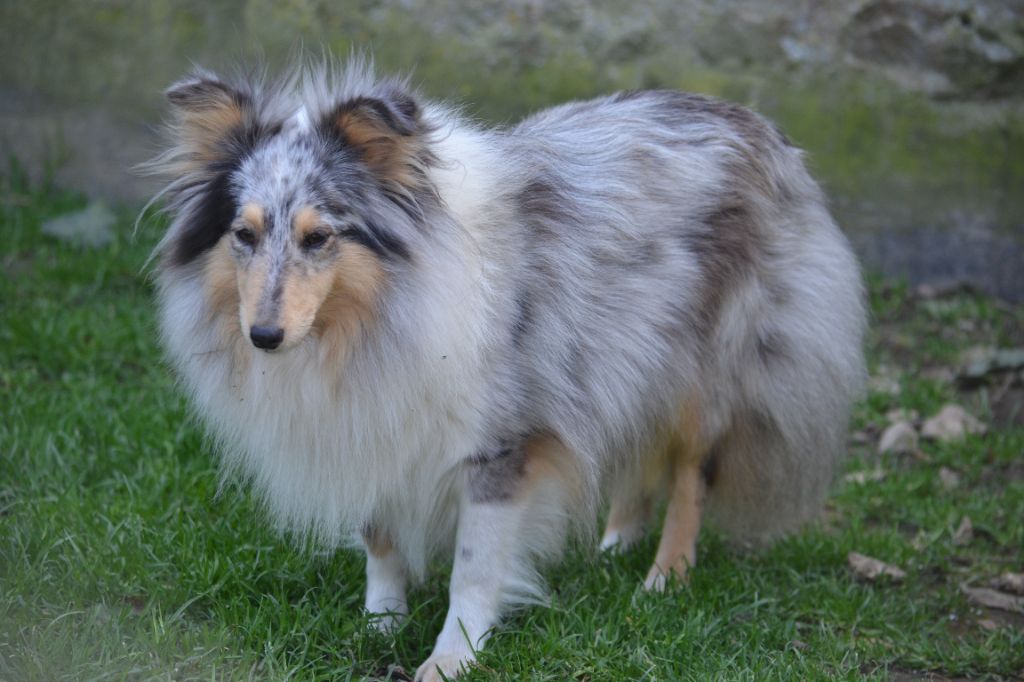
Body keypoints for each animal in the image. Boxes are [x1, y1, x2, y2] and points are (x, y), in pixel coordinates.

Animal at [144, 59, 864, 679]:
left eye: (319, 237)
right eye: (244, 234)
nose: (263, 337)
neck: (375, 318)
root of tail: (760, 126)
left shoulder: (497, 449)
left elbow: (474, 567)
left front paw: (451, 659)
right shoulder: (372, 423)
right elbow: (380, 541)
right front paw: (379, 626)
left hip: (706, 373)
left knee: (692, 472)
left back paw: (664, 579)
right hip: (627, 358)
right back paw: (615, 546)